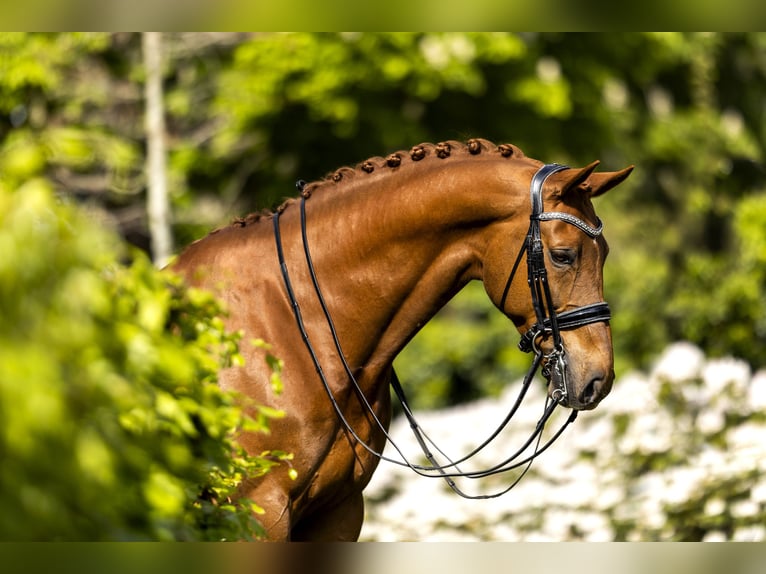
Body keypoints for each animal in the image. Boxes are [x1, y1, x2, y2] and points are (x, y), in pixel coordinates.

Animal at [174, 137, 636, 544]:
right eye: (562, 256)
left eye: (606, 253)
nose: (598, 378)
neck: (296, 324)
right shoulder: (257, 509)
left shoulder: (339, 511)